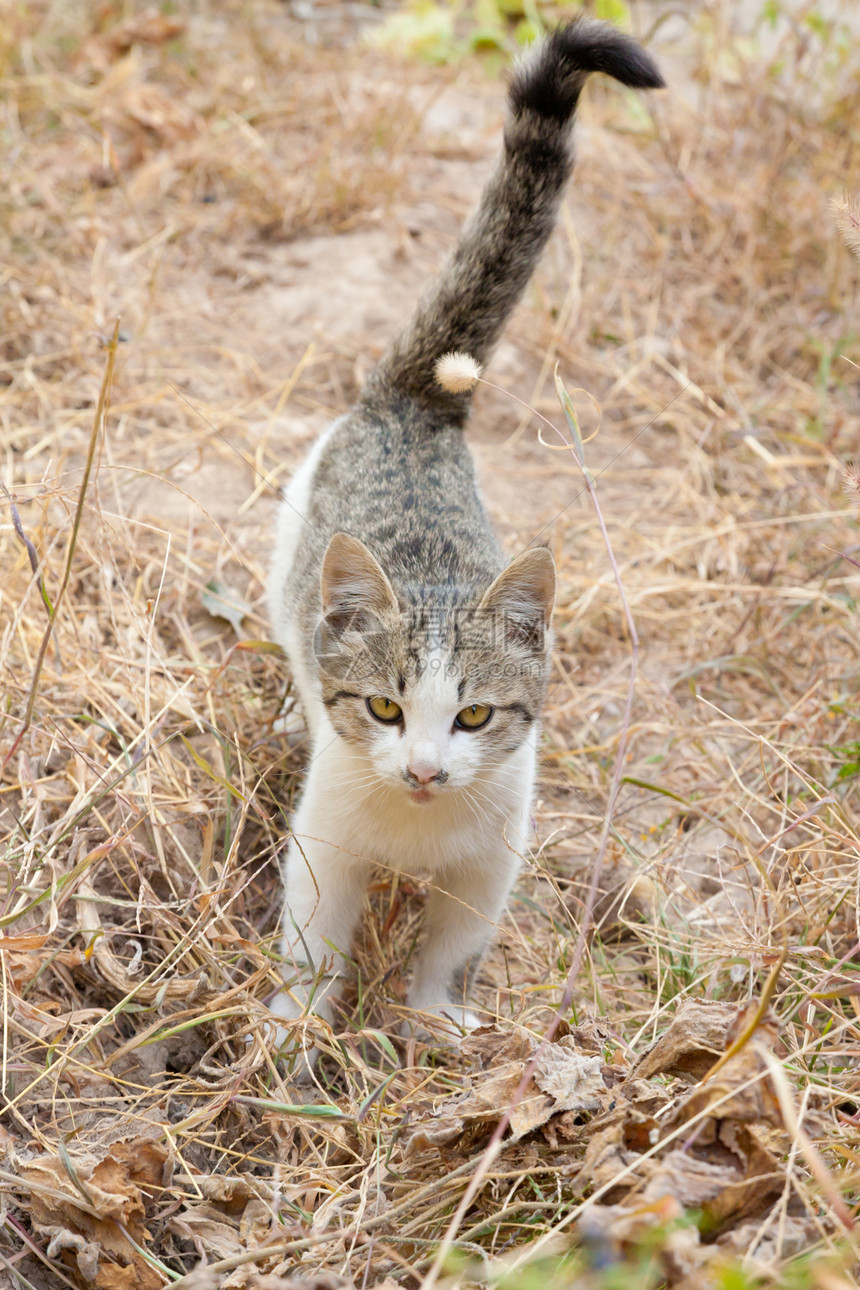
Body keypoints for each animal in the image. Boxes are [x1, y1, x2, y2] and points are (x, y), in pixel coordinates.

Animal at [265, 17, 665, 1068]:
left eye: (475, 717)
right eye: (384, 708)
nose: (423, 773)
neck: (418, 830)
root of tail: (420, 399)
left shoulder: (493, 858)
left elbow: (456, 944)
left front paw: (437, 1018)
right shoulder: (324, 843)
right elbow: (312, 942)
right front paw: (292, 1032)